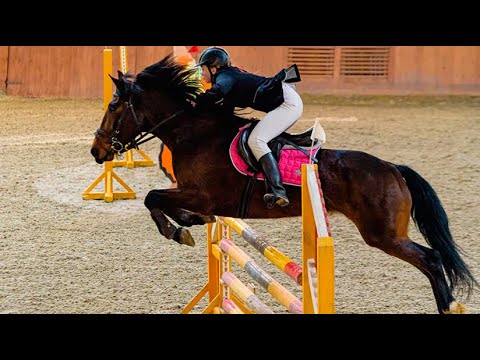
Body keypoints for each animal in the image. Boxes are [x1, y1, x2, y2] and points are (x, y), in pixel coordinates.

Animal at [90, 52, 476, 312]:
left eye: (113, 106)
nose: (97, 150)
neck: (195, 134)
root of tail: (393, 168)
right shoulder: (192, 194)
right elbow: (161, 199)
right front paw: (190, 223)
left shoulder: (200, 194)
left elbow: (153, 198)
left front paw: (180, 230)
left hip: (383, 234)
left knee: (431, 258)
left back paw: (447, 305)